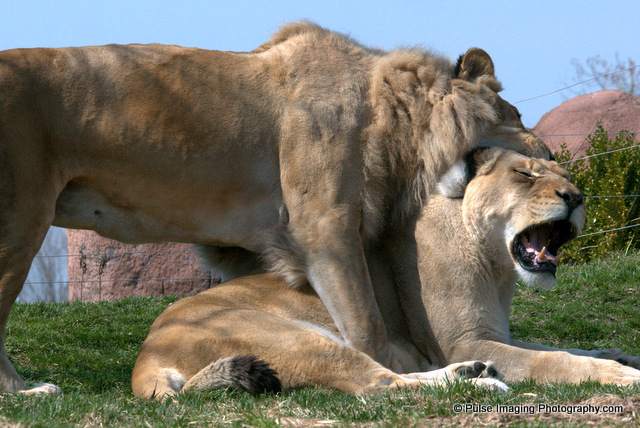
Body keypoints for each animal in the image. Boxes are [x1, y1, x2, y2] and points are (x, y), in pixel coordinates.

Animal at [0, 21, 550, 393]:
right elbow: (368, 332)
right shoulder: (324, 226)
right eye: (515, 115)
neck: (391, 117)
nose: (548, 150)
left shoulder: (248, 248)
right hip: (20, 223)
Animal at [132, 148, 640, 398]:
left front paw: (622, 356)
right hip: (298, 338)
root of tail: (146, 355)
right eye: (526, 175)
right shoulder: (466, 339)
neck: (498, 268)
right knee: (378, 386)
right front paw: (621, 376)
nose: (576, 197)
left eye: (567, 177)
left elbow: (563, 347)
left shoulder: (492, 336)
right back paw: (485, 384)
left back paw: (470, 375)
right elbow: (555, 361)